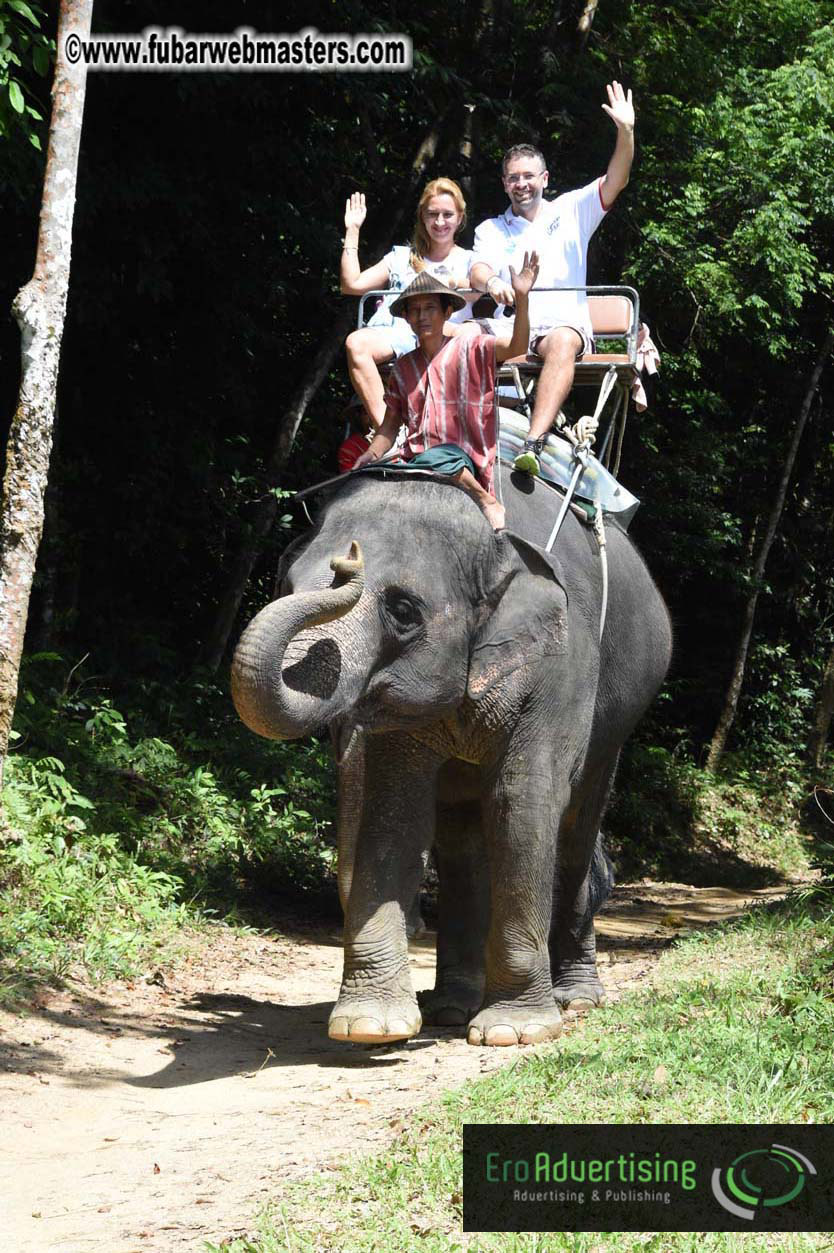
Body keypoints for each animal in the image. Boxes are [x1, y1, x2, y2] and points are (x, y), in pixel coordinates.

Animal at [231, 465, 672, 1047]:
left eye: (402, 611)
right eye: (286, 585)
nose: (348, 561)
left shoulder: (561, 663)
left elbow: (522, 802)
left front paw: (513, 1031)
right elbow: (395, 809)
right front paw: (369, 1026)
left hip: (617, 719)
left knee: (576, 828)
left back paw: (575, 999)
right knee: (461, 836)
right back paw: (449, 1009)